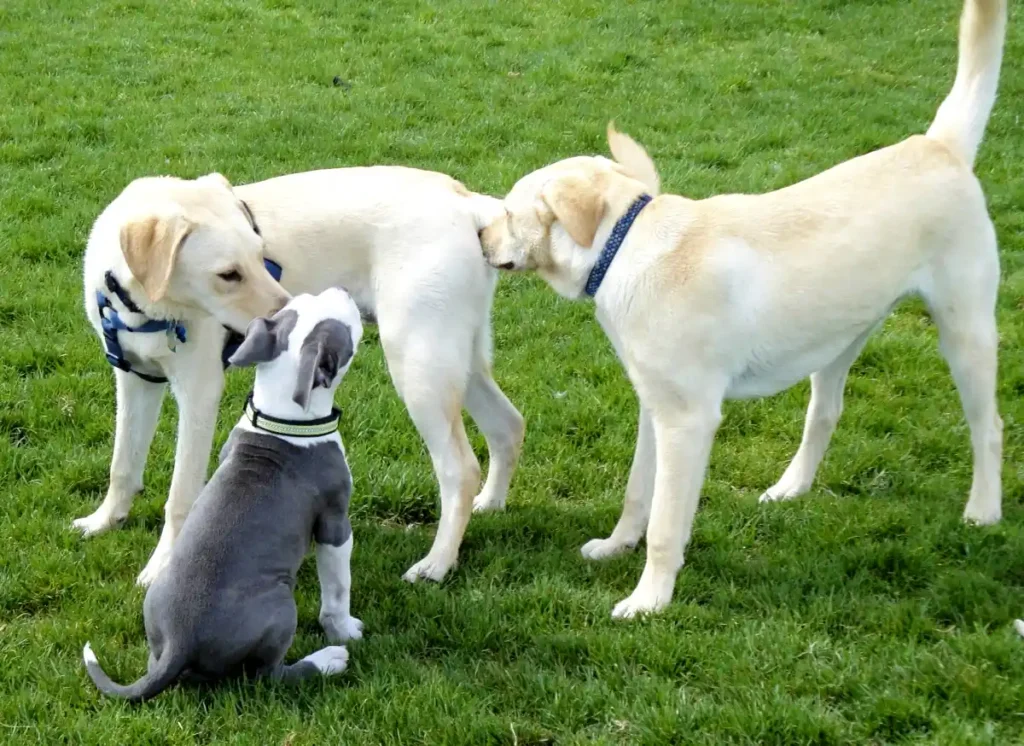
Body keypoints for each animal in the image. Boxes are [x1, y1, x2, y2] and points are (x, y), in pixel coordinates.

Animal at [81, 165, 520, 585]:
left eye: (261, 255)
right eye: (228, 274)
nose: (287, 315)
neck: (141, 307)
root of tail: (464, 200)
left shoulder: (199, 391)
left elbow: (180, 494)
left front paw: (162, 567)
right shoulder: (136, 380)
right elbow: (122, 463)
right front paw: (105, 520)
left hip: (418, 365)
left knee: (461, 468)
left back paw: (437, 564)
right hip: (457, 359)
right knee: (509, 425)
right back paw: (491, 504)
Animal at [82, 286, 364, 699]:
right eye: (345, 322)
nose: (342, 289)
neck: (282, 418)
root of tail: (180, 641)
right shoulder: (334, 523)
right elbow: (338, 587)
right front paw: (345, 630)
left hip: (157, 612)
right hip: (280, 608)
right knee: (269, 674)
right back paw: (328, 660)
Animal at [481, 0, 1007, 618]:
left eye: (508, 213)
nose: (478, 236)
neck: (626, 245)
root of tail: (938, 145)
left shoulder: (689, 419)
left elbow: (666, 525)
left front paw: (649, 600)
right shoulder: (655, 406)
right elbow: (637, 492)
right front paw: (615, 547)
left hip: (965, 331)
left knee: (989, 426)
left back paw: (983, 511)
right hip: (838, 339)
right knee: (825, 413)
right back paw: (791, 488)